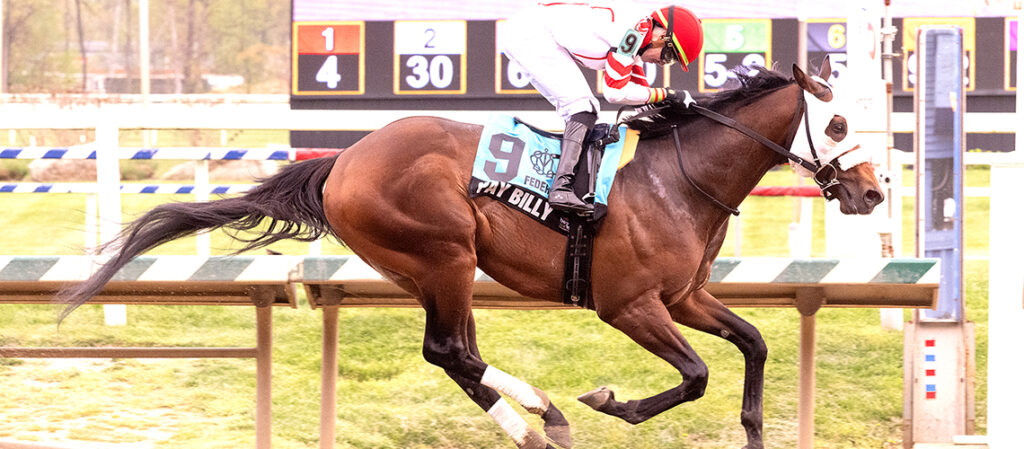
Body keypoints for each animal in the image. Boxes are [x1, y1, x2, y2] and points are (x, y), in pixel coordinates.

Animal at [58, 58, 882, 449]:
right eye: (839, 123)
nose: (872, 193)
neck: (677, 180)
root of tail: (343, 159)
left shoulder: (684, 296)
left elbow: (754, 342)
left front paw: (754, 428)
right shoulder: (629, 305)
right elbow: (696, 374)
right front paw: (611, 400)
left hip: (433, 268)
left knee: (458, 355)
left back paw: (539, 416)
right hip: (444, 253)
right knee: (448, 349)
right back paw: (540, 418)